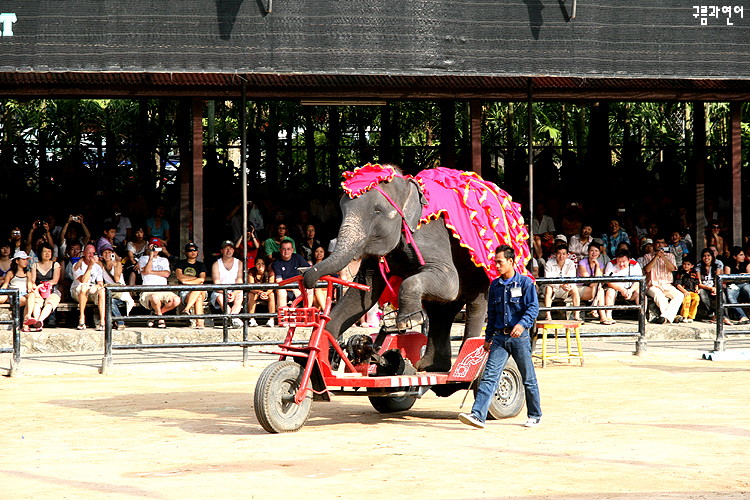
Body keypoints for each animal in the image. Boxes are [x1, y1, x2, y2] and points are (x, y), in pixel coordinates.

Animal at [302, 166, 532, 374]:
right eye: (342, 210)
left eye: (377, 211)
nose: (307, 278)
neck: (407, 188)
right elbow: (364, 292)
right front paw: (325, 344)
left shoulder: (430, 233)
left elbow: (449, 283)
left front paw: (408, 321)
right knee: (440, 311)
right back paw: (431, 367)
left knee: (475, 303)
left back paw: (469, 363)